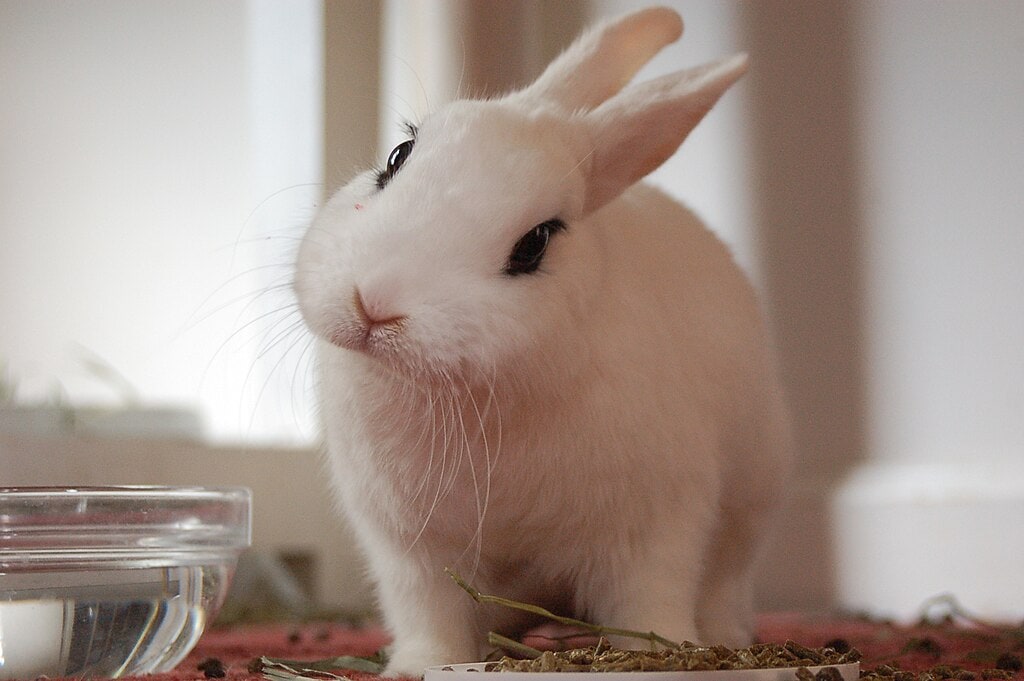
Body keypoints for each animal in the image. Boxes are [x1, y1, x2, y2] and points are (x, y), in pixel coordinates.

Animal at [294, 6, 792, 677]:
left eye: (535, 242)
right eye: (398, 155)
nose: (372, 303)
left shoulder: (653, 526)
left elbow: (649, 599)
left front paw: (659, 654)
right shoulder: (412, 550)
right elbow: (430, 618)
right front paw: (418, 665)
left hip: (748, 512)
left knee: (722, 585)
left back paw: (724, 637)